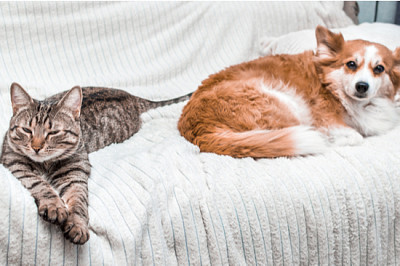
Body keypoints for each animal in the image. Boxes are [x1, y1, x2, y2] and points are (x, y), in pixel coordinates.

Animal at [0, 82, 191, 243]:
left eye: (53, 132)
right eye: (27, 130)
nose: (36, 147)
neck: (46, 163)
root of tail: (129, 95)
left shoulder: (75, 172)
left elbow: (79, 201)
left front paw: (77, 225)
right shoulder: (14, 162)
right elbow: (40, 183)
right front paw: (54, 206)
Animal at [178, 25, 400, 158]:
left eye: (379, 68)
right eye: (351, 64)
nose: (362, 86)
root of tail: (198, 129)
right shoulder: (325, 120)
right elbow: (355, 136)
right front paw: (337, 141)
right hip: (287, 104)